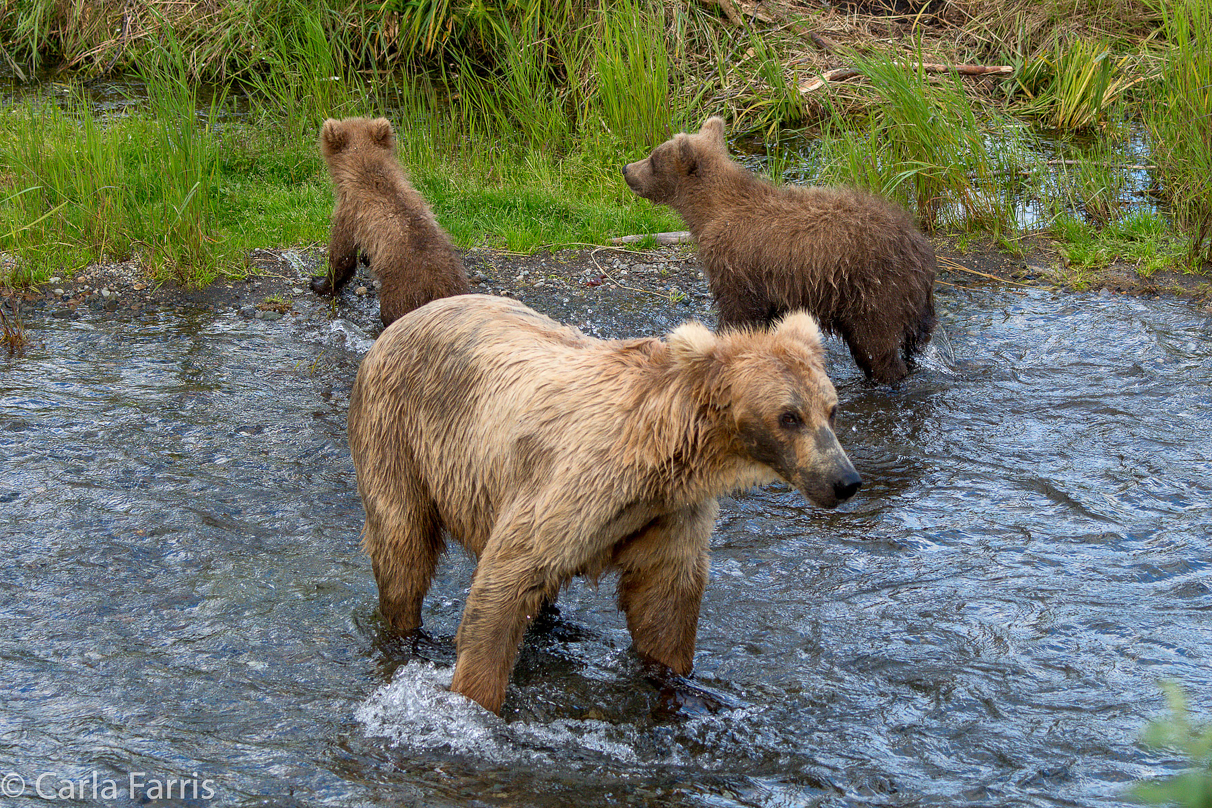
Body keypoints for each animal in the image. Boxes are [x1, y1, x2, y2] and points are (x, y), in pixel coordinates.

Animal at [351, 294, 862, 712]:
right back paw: (405, 634)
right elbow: (508, 575)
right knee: (402, 545)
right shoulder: (571, 489)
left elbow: (665, 603)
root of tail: (404, 320)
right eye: (789, 416)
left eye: (832, 409)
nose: (845, 480)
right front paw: (473, 699)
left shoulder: (668, 513)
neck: (659, 454)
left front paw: (678, 683)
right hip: (398, 432)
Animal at [625, 114, 935, 387]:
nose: (627, 168)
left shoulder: (738, 264)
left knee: (876, 344)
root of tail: (919, 246)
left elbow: (738, 312)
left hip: (874, 289)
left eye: (653, 158)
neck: (710, 212)